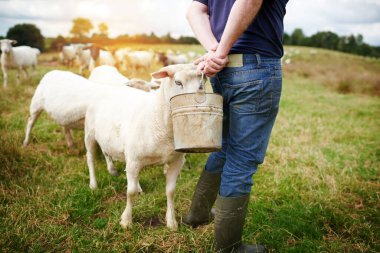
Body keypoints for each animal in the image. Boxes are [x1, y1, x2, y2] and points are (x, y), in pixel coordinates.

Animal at [84, 63, 200, 229]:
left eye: (202, 84)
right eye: (178, 82)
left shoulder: (176, 160)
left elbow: (171, 191)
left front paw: (171, 222)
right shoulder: (133, 159)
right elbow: (130, 192)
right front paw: (126, 221)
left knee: (107, 152)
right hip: (89, 133)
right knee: (90, 158)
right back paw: (93, 184)